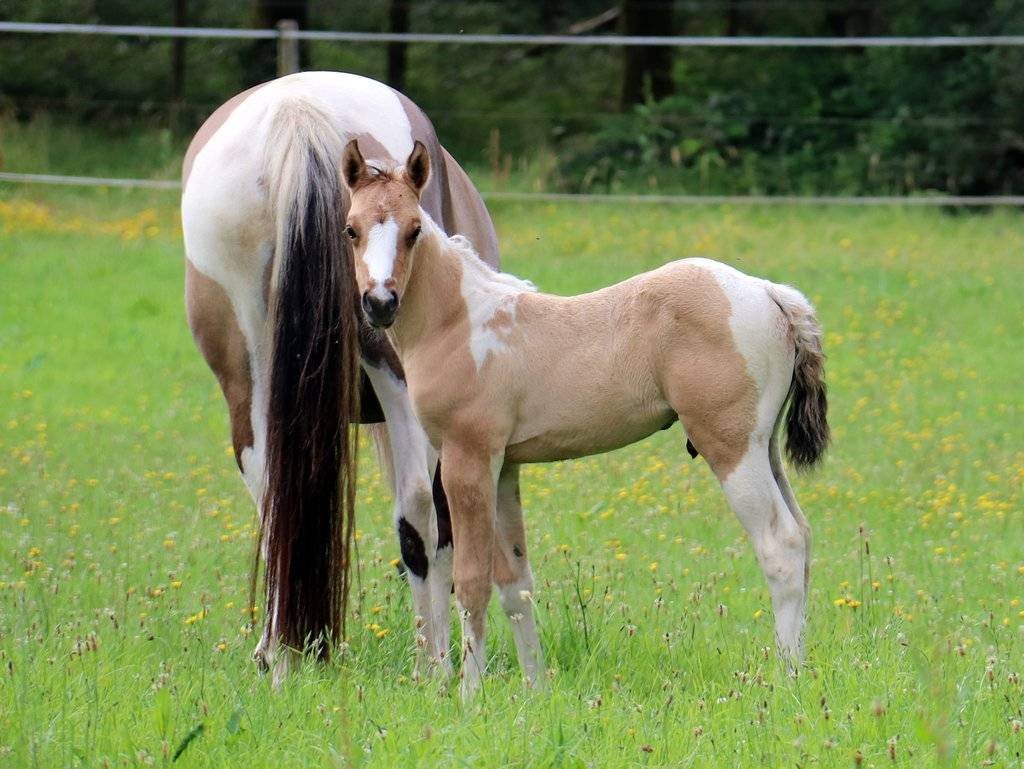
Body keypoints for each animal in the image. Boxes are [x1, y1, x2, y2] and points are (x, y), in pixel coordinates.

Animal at [180, 71, 500, 682]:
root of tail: (297, 113)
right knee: (417, 508)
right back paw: (435, 664)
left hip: (247, 375)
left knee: (273, 500)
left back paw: (281, 656)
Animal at [340, 139, 830, 698]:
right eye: (351, 228)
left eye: (414, 229)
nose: (379, 304)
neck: (458, 322)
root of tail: (770, 292)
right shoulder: (505, 466)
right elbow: (515, 583)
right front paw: (536, 693)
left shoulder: (468, 458)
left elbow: (472, 580)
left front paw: (468, 697)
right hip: (763, 447)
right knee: (803, 536)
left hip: (730, 448)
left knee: (780, 546)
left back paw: (788, 681)